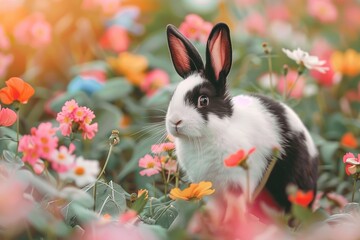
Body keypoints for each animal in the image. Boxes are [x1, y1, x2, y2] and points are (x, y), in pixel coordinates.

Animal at [165, 22, 316, 210]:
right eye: (173, 95)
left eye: (203, 100)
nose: (175, 121)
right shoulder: (211, 191)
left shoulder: (237, 183)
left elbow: (235, 208)